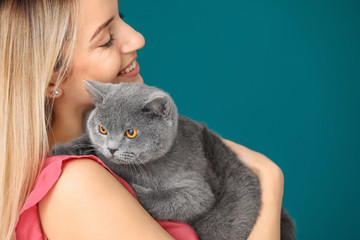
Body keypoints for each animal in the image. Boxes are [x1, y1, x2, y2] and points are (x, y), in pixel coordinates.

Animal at [50, 80, 294, 240]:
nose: (111, 148)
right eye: (102, 129)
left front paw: (123, 178)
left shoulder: (196, 191)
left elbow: (163, 198)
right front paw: (61, 149)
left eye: (131, 133)